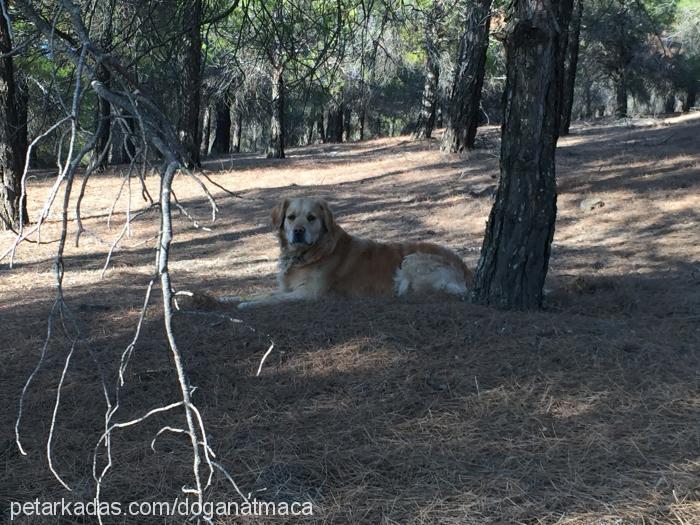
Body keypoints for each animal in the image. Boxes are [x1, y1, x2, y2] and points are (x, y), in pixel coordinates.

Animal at [227, 199, 474, 310]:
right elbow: (261, 292)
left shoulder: (309, 294)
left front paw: (247, 305)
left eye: (311, 218)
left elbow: (271, 298)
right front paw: (230, 298)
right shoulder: (288, 287)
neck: (307, 254)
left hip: (411, 259)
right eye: (291, 217)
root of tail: (466, 270)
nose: (298, 232)